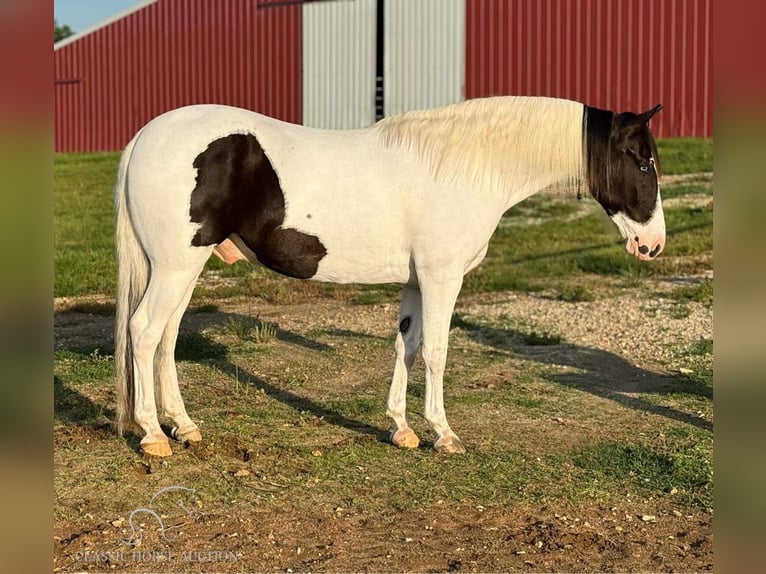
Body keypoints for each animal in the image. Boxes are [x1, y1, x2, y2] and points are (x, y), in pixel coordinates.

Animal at [115, 98, 664, 460]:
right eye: (642, 162)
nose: (652, 245)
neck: (461, 167)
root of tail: (145, 137)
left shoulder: (417, 282)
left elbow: (409, 347)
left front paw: (401, 428)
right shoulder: (442, 279)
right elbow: (438, 352)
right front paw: (444, 434)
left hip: (185, 268)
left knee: (165, 338)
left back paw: (184, 427)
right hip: (176, 266)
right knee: (143, 332)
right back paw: (153, 435)